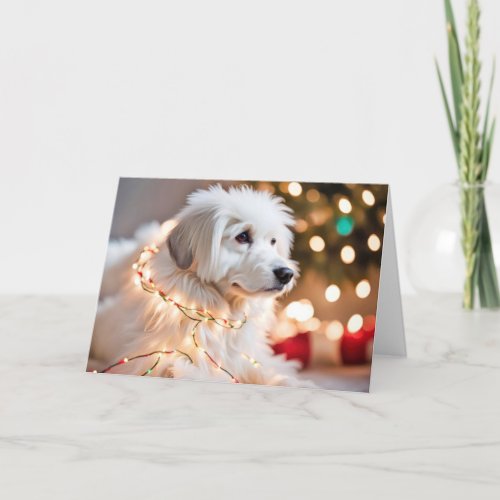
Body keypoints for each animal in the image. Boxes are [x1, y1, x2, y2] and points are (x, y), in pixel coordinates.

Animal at [89, 184, 308, 386]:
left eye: (273, 241)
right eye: (243, 236)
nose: (287, 274)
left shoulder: (247, 357)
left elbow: (267, 370)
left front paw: (291, 382)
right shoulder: (150, 358)